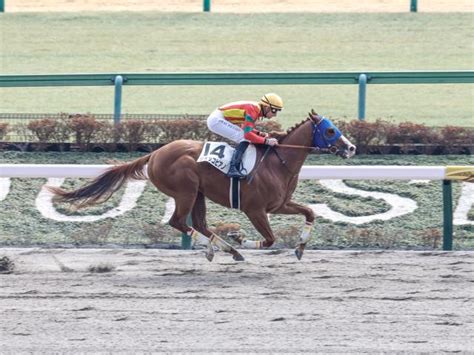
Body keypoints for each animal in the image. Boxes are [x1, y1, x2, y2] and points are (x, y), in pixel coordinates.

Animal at [49, 111, 356, 262]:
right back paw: (223, 248)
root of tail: (155, 153)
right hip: (185, 191)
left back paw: (224, 249)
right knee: (179, 222)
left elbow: (310, 213)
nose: (351, 148)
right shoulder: (255, 210)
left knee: (199, 224)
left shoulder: (279, 205)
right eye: (330, 130)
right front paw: (241, 238)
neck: (277, 162)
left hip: (198, 193)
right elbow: (269, 239)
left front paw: (300, 248)